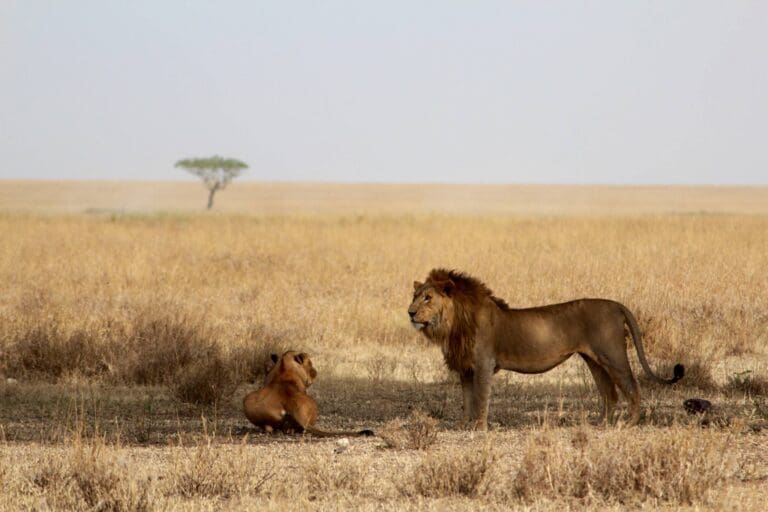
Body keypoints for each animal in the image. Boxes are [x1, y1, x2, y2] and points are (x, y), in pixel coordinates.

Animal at [243, 350, 374, 437]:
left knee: (269, 428)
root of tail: (290, 402)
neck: (284, 367)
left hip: (248, 400)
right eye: (310, 364)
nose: (315, 371)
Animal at [408, 269, 684, 430]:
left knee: (632, 386)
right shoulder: (465, 368)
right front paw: (465, 425)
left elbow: (481, 398)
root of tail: (616, 305)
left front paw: (480, 427)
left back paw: (629, 424)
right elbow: (467, 398)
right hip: (594, 360)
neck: (454, 324)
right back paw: (599, 424)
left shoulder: (484, 364)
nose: (410, 312)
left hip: (612, 355)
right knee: (610, 394)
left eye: (428, 298)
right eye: (414, 296)